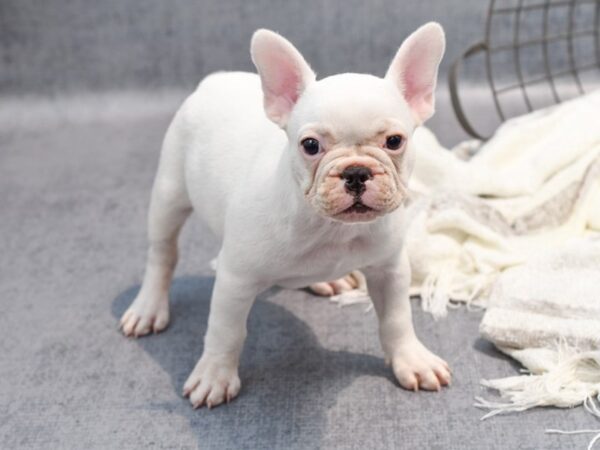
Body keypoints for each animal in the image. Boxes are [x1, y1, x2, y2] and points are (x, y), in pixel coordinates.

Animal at [120, 22, 450, 408]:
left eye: (395, 141)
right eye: (310, 145)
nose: (355, 172)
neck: (329, 229)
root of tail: (214, 80)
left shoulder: (390, 270)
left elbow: (398, 319)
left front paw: (411, 360)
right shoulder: (235, 280)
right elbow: (225, 331)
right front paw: (214, 375)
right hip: (169, 193)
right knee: (163, 253)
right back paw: (148, 307)